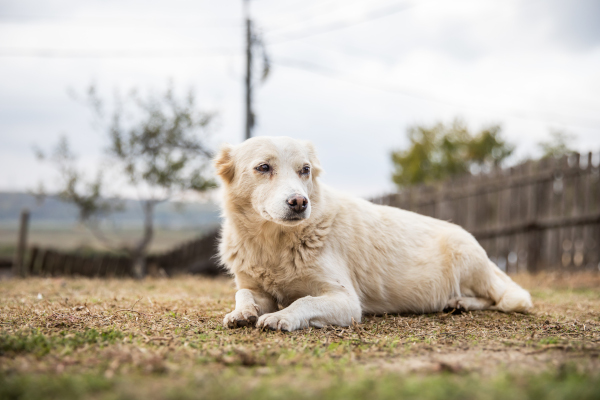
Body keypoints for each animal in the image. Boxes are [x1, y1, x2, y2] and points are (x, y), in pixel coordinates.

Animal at [213, 138, 532, 332]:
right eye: (263, 167)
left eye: (304, 170)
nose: (300, 202)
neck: (274, 243)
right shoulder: (256, 287)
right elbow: (243, 293)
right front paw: (241, 313)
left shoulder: (346, 301)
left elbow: (303, 302)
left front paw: (281, 316)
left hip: (466, 258)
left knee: (499, 297)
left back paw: (461, 303)